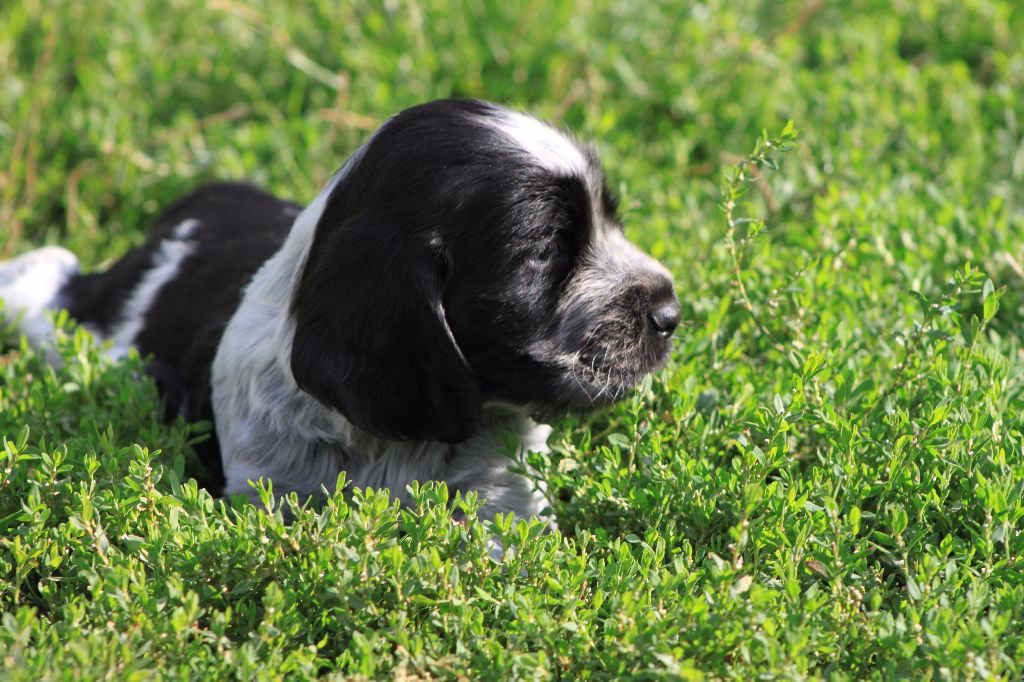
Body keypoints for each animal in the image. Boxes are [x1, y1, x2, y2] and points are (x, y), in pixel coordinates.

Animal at [2, 96, 679, 520]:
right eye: (544, 252)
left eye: (610, 219)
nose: (672, 314)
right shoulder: (275, 493)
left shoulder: (501, 498)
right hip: (76, 329)